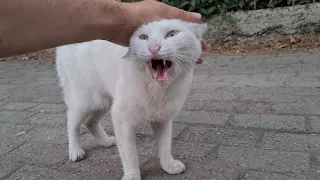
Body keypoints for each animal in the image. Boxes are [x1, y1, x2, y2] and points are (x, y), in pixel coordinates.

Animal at [56, 19, 208, 180]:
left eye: (172, 34)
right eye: (143, 38)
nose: (154, 48)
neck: (157, 90)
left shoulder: (162, 119)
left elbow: (165, 145)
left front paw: (169, 165)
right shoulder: (121, 119)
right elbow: (129, 153)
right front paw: (132, 174)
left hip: (103, 101)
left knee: (90, 122)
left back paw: (105, 141)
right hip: (85, 100)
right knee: (72, 123)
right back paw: (75, 150)